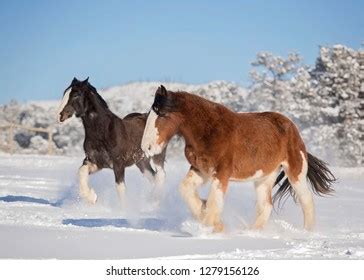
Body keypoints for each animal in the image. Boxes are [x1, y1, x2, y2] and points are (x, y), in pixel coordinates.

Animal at [57, 77, 166, 207]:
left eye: (76, 95)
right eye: (64, 92)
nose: (59, 115)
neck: (103, 132)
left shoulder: (118, 164)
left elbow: (120, 188)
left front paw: (124, 209)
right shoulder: (95, 162)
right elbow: (81, 172)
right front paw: (92, 197)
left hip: (157, 155)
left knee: (161, 175)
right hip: (141, 161)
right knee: (154, 177)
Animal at [141, 85, 334, 232]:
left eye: (163, 115)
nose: (146, 147)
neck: (209, 131)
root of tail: (292, 128)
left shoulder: (222, 173)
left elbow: (214, 200)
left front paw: (209, 227)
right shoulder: (201, 170)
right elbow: (186, 190)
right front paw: (205, 213)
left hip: (295, 172)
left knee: (306, 201)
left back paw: (307, 233)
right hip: (265, 177)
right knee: (266, 205)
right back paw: (252, 232)